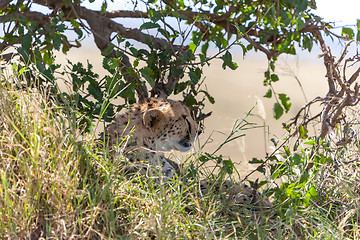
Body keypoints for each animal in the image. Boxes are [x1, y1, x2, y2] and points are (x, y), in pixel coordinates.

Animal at [100, 97, 270, 208]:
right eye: (184, 118)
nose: (199, 131)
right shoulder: (169, 190)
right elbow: (210, 194)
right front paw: (244, 198)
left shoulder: (178, 180)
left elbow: (215, 183)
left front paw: (253, 193)